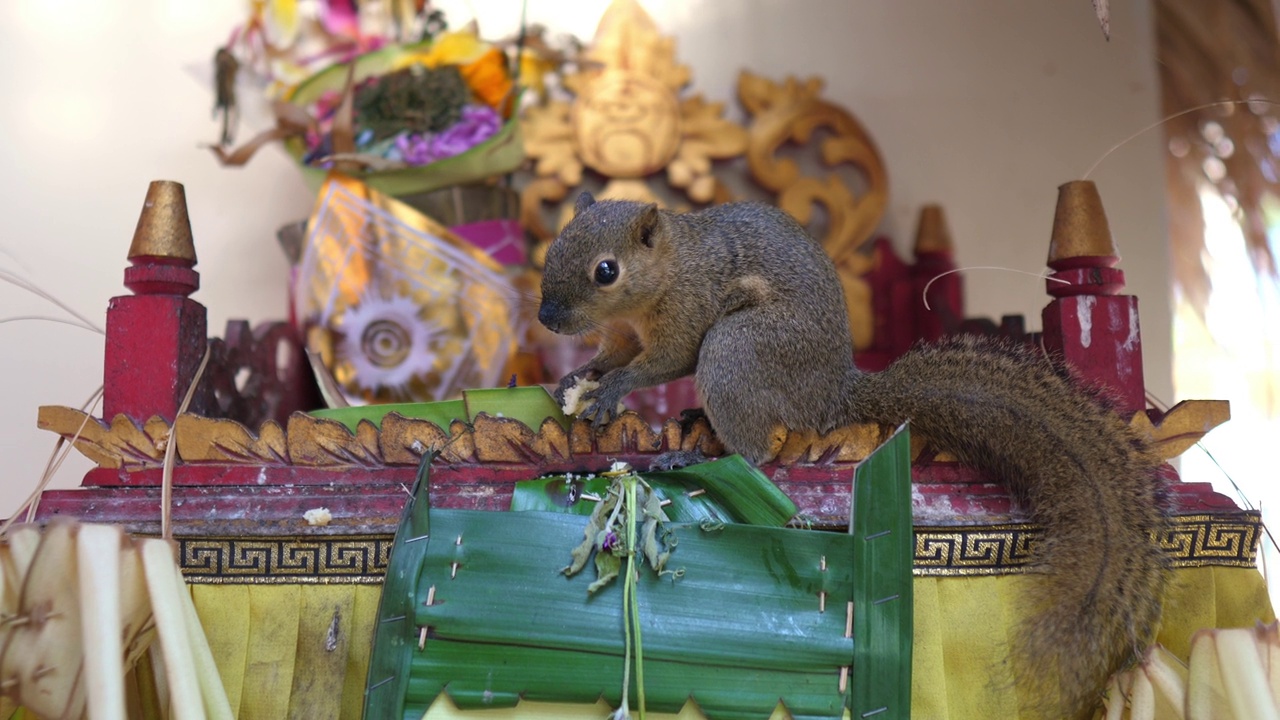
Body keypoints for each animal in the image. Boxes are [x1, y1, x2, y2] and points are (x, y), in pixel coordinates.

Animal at [537, 190, 1172, 717]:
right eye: (553, 249)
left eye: (606, 271)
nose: (546, 318)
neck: (669, 268)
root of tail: (830, 394)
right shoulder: (624, 332)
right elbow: (613, 354)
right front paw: (577, 376)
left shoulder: (688, 313)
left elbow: (663, 362)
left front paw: (614, 389)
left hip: (738, 350)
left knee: (756, 449)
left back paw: (691, 456)